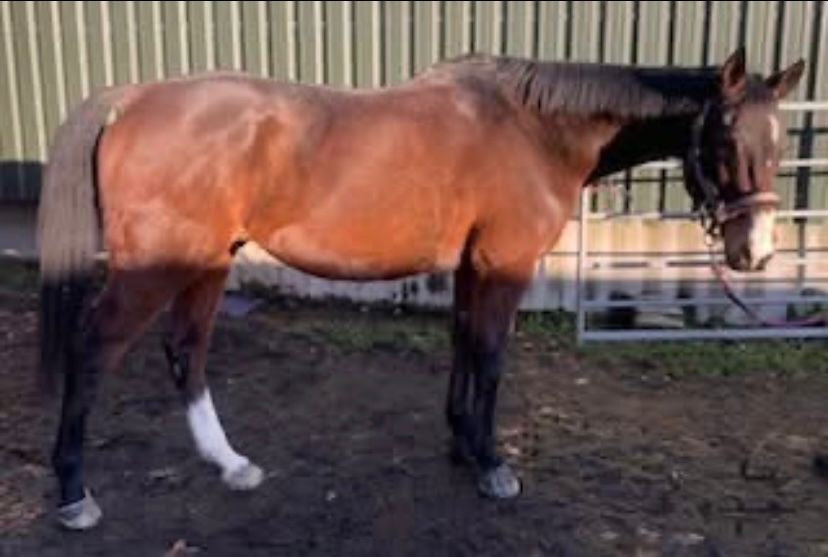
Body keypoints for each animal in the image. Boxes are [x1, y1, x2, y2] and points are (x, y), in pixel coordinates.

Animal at [37, 46, 804, 529]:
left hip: (209, 261)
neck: (533, 128)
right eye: (726, 140)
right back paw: (73, 493)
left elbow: (464, 346)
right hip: (157, 268)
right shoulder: (505, 264)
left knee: (185, 352)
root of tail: (133, 98)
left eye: (780, 143)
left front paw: (462, 442)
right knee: (94, 351)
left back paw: (231, 465)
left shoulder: (472, 266)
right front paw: (493, 464)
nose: (756, 252)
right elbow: (490, 358)